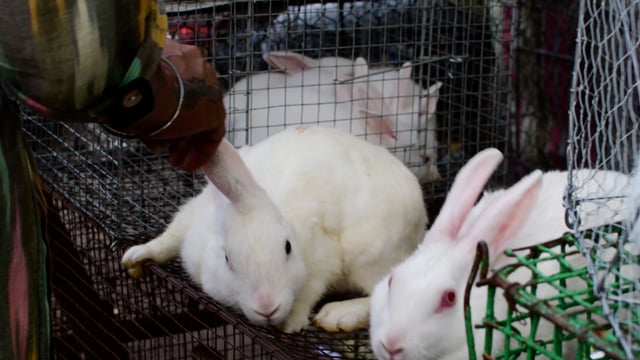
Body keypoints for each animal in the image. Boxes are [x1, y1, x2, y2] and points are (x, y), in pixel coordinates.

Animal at [122, 126, 428, 334]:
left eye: (288, 247)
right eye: (227, 259)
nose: (267, 307)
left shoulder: (323, 258)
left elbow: (309, 290)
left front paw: (291, 322)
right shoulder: (190, 221)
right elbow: (169, 239)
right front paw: (135, 257)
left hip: (369, 254)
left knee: (385, 289)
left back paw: (338, 315)